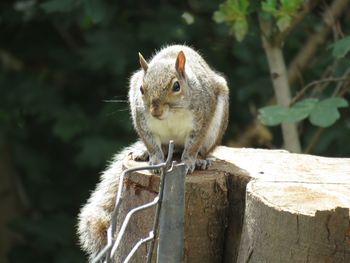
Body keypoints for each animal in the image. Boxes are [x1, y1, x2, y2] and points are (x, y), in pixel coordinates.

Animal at [77, 45, 230, 262]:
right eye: (142, 88)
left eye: (176, 86)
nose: (156, 111)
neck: (171, 114)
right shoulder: (143, 120)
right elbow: (152, 144)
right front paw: (155, 159)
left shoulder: (203, 116)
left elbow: (193, 145)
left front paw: (189, 161)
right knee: (163, 148)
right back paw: (143, 153)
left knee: (203, 148)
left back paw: (202, 160)